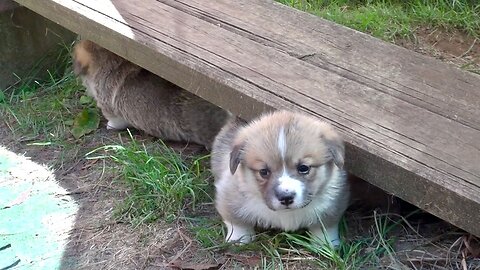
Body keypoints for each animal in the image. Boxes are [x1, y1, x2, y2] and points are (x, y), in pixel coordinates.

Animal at [212, 110, 350, 247]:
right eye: (263, 172)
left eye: (304, 168)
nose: (286, 198)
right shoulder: (230, 196)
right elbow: (237, 222)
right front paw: (239, 240)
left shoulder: (333, 205)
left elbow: (325, 228)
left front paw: (326, 244)